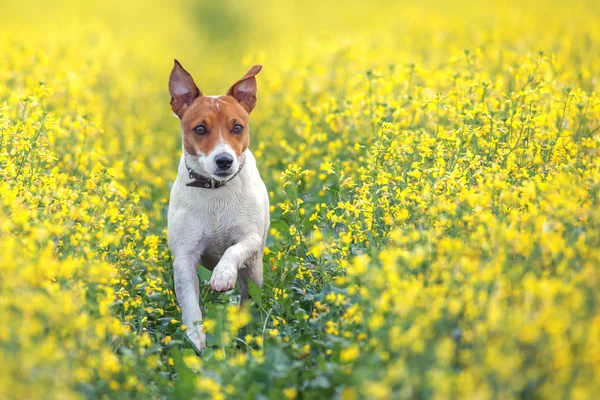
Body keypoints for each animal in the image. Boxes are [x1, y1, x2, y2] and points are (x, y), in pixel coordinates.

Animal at [168, 60, 268, 354]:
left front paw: (223, 274)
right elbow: (190, 306)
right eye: (200, 129)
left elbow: (234, 250)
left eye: (238, 127)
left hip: (254, 271)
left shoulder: (250, 238)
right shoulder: (184, 256)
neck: (216, 191)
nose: (224, 160)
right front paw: (197, 341)